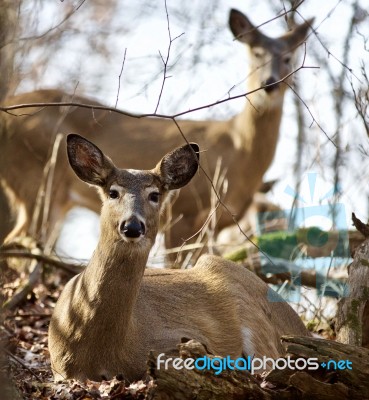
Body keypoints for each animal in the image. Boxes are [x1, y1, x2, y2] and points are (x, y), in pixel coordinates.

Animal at [0, 9, 314, 250]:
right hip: (38, 180)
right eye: (256, 54)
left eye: (289, 58)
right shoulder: (183, 213)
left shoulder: (214, 227)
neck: (239, 150)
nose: (269, 83)